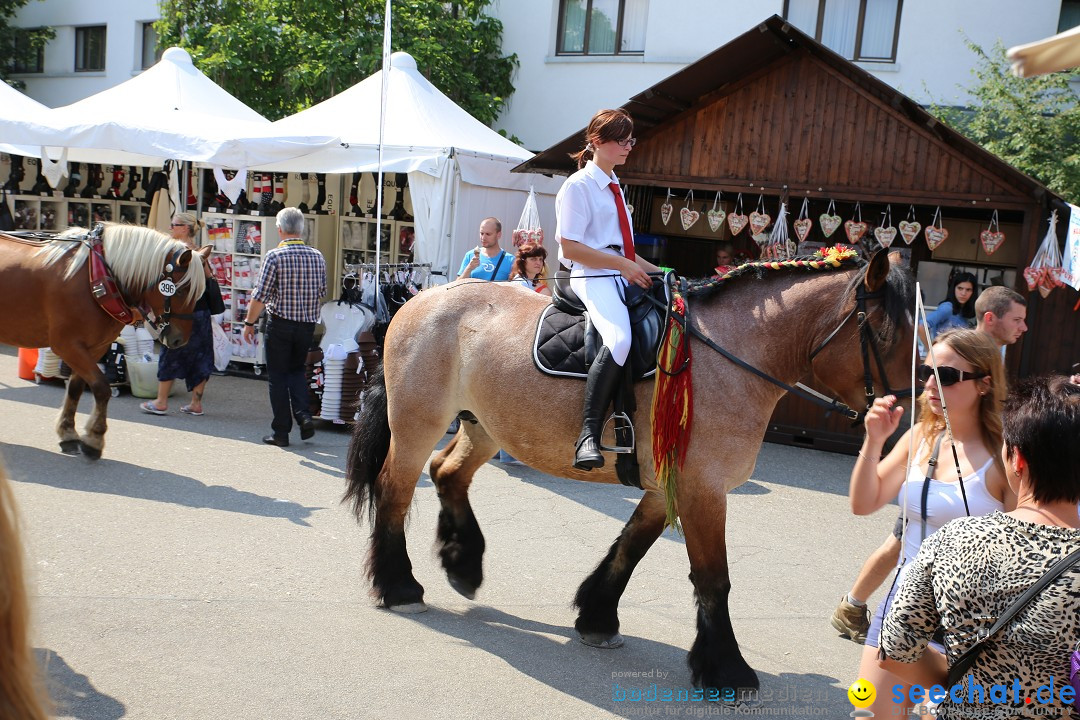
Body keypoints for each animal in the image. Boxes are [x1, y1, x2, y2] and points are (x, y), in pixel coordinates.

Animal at [0, 225, 206, 459]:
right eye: (181, 290)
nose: (180, 339)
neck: (95, 278)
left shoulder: (94, 348)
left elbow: (76, 388)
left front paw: (68, 432)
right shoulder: (67, 346)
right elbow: (101, 387)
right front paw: (95, 438)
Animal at [343, 249, 911, 699]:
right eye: (886, 333)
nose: (904, 416)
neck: (728, 357)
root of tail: (418, 301)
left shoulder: (668, 487)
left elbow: (631, 548)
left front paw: (596, 617)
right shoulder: (703, 490)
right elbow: (714, 578)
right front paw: (726, 668)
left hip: (485, 426)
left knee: (447, 473)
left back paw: (463, 564)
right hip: (417, 423)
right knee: (396, 490)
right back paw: (400, 587)